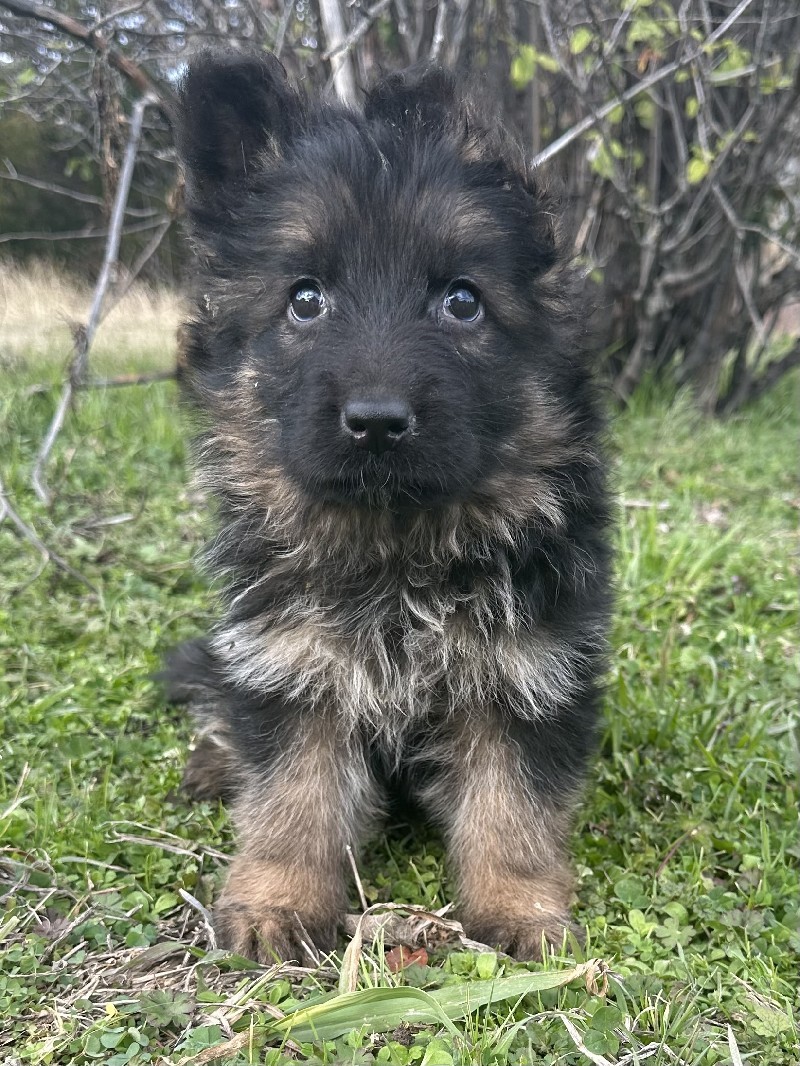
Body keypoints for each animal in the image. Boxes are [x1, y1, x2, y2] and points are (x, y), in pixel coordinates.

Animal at [166, 51, 610, 967]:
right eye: (305, 299)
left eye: (462, 301)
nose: (376, 422)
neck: (397, 551)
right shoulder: (291, 666)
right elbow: (291, 795)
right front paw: (278, 898)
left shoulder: (527, 677)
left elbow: (514, 805)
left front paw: (519, 907)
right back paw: (217, 761)